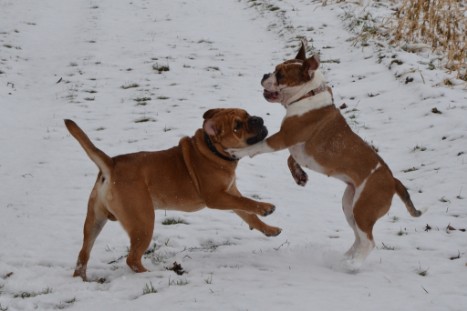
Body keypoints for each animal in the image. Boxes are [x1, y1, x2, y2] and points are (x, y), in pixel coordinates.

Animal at [229, 40, 422, 270]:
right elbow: (290, 158)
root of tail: (393, 180)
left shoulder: (282, 138)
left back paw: (353, 265)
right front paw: (300, 176)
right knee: (358, 237)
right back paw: (346, 258)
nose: (265, 74)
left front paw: (237, 151)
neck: (308, 94)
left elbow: (257, 147)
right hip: (349, 205)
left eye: (280, 74)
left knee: (369, 241)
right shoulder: (294, 146)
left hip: (364, 209)